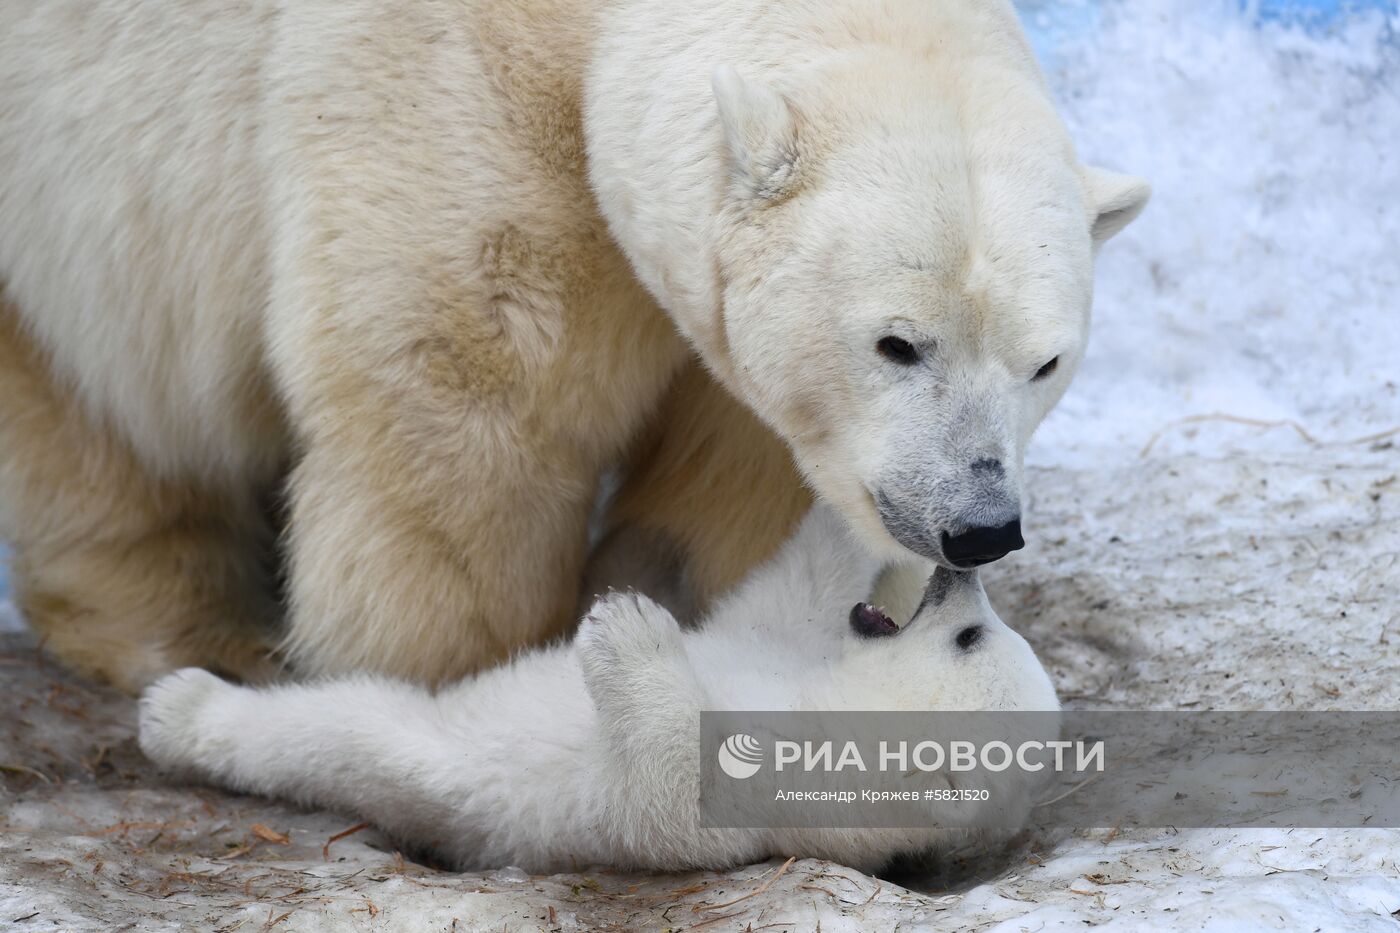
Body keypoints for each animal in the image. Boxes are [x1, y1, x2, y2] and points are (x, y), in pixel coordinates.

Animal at [0, 0, 1142, 686]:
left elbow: (742, 469)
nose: (979, 526)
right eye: (897, 343)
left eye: (1043, 363)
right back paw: (201, 631)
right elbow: (472, 414)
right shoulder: (458, 109)